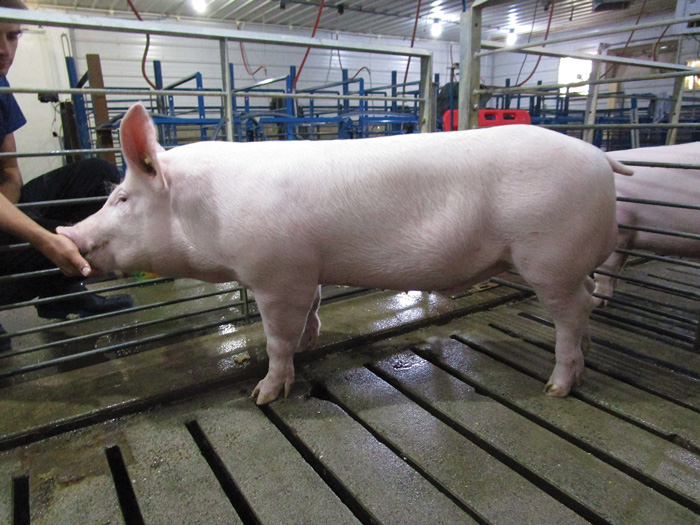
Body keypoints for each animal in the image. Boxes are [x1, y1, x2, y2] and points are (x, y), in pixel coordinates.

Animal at [58, 103, 632, 404]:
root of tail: (600, 156)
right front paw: (311, 340)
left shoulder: (275, 273)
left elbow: (276, 338)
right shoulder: (304, 266)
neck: (208, 213)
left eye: (121, 197)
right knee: (584, 302)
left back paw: (557, 387)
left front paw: (264, 394)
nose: (65, 230)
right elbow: (312, 305)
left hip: (548, 255)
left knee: (573, 311)